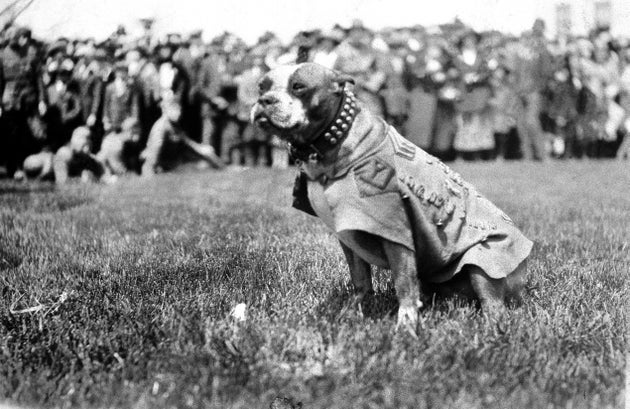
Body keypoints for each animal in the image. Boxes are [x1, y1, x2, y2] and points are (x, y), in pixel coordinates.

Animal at [252, 63, 532, 332]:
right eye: (261, 87)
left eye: (299, 87)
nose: (265, 100)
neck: (334, 142)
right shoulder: (349, 235)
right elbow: (361, 281)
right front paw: (351, 313)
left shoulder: (396, 234)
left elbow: (403, 282)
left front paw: (406, 325)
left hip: (485, 260)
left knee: (492, 302)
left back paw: (492, 326)